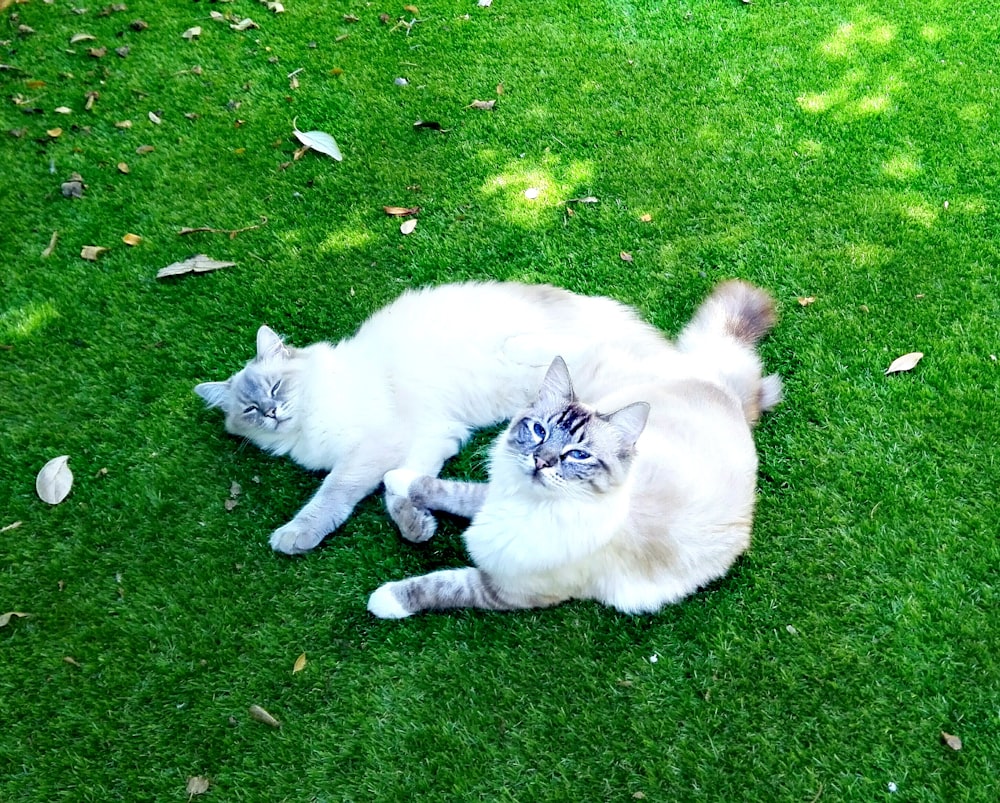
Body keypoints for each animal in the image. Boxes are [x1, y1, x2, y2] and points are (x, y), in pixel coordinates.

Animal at [368, 280, 780, 620]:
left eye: (578, 456)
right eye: (539, 431)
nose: (541, 461)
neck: (529, 508)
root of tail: (724, 392)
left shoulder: (501, 590)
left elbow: (438, 585)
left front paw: (384, 600)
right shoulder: (490, 497)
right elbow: (444, 488)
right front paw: (397, 480)